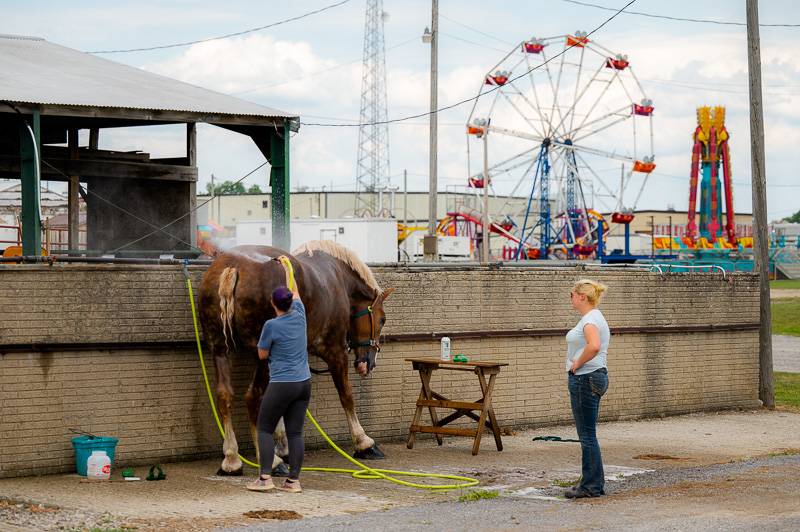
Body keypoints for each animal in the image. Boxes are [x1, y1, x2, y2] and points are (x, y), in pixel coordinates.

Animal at [198, 239, 396, 476]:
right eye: (382, 319)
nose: (369, 362)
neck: (338, 277)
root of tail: (233, 266)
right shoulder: (335, 351)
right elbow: (346, 396)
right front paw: (363, 442)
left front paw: (282, 444)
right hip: (263, 356)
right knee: (253, 398)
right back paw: (270, 461)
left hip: (219, 348)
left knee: (224, 396)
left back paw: (231, 458)